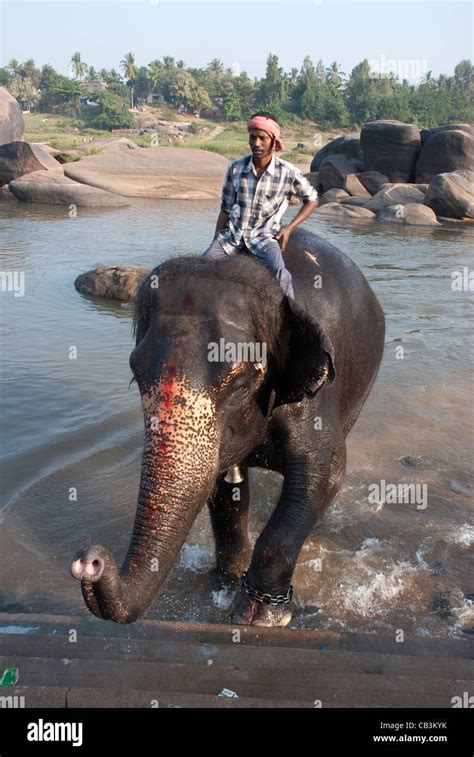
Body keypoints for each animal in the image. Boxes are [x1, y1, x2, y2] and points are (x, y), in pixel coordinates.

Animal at [71, 224, 386, 628]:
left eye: (240, 385)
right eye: (136, 376)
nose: (89, 561)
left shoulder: (314, 399)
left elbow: (325, 470)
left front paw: (259, 616)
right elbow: (224, 487)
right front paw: (225, 585)